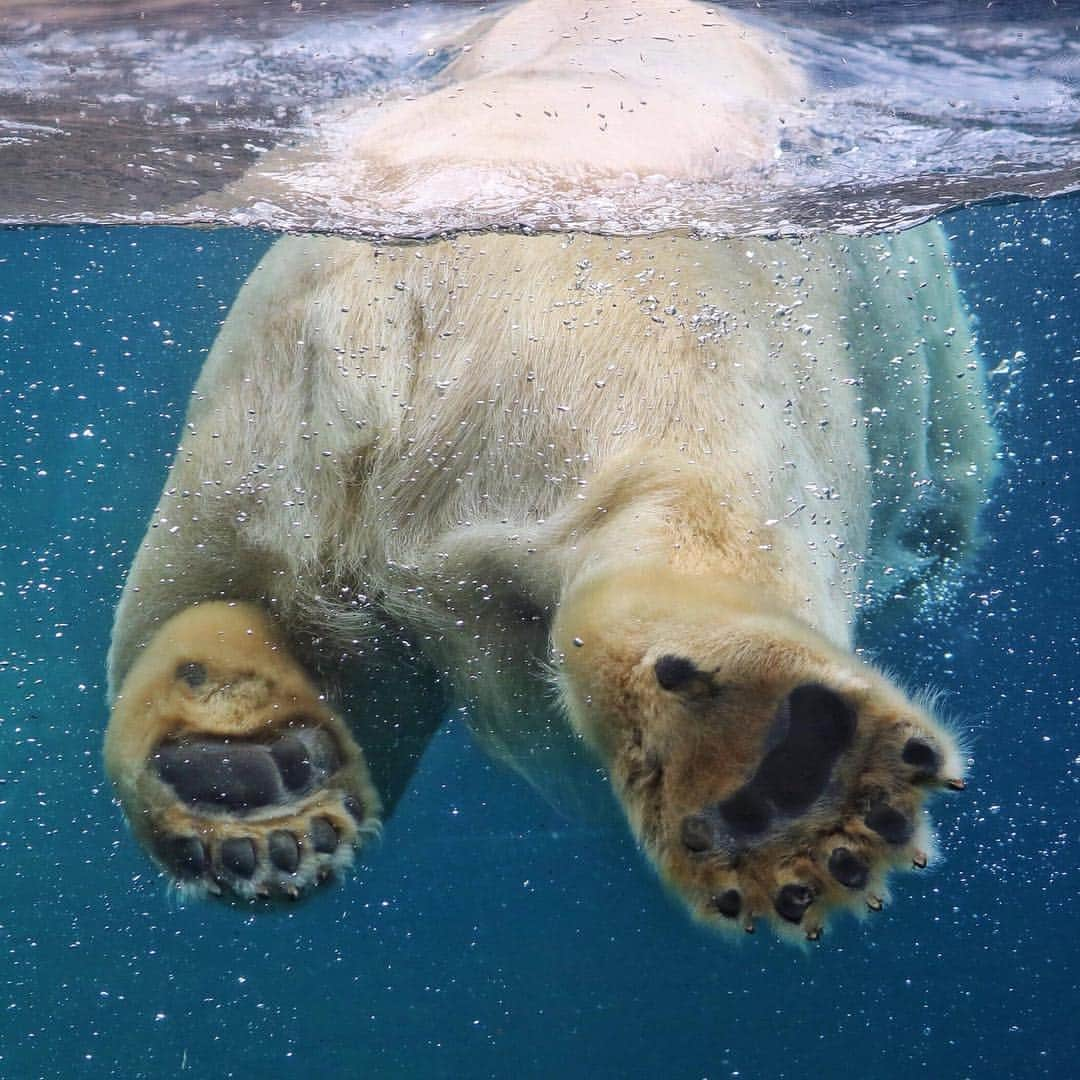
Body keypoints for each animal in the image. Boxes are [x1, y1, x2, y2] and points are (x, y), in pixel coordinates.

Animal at [105, 0, 997, 941]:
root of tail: (383, 308)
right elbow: (953, 456)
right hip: (636, 358)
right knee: (697, 520)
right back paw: (781, 769)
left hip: (248, 440)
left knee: (236, 607)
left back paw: (240, 780)